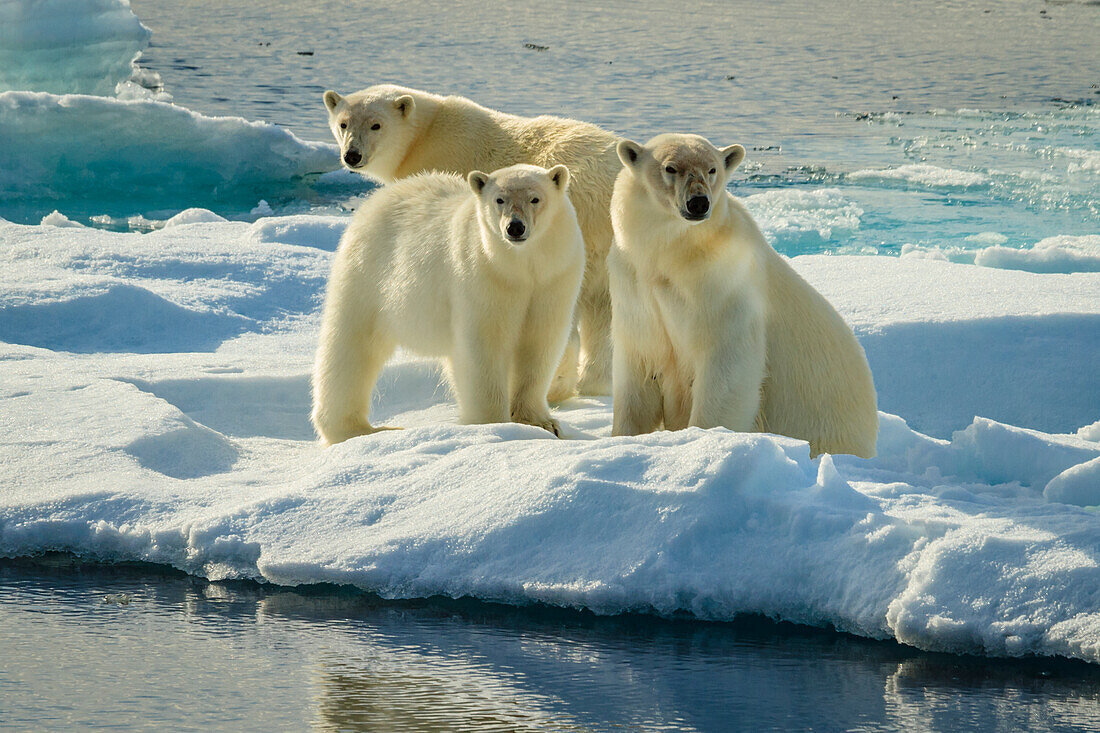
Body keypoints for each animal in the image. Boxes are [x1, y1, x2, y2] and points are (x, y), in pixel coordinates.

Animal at [310, 161, 585, 442]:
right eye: (499, 200)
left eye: (534, 198)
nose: (515, 227)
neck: (520, 266)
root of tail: (379, 197)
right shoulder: (484, 274)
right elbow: (486, 344)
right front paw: (495, 424)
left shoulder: (553, 277)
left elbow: (539, 342)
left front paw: (543, 423)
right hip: (367, 275)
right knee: (351, 346)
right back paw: (355, 429)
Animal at [321, 85, 624, 400]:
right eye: (343, 124)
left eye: (376, 125)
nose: (352, 155)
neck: (425, 135)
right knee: (603, 312)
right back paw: (592, 384)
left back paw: (556, 388)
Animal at [611, 134, 875, 457]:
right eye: (670, 168)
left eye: (712, 169)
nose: (698, 203)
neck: (671, 254)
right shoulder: (633, 286)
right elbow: (639, 366)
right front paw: (621, 438)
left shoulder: (721, 286)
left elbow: (727, 370)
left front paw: (704, 437)